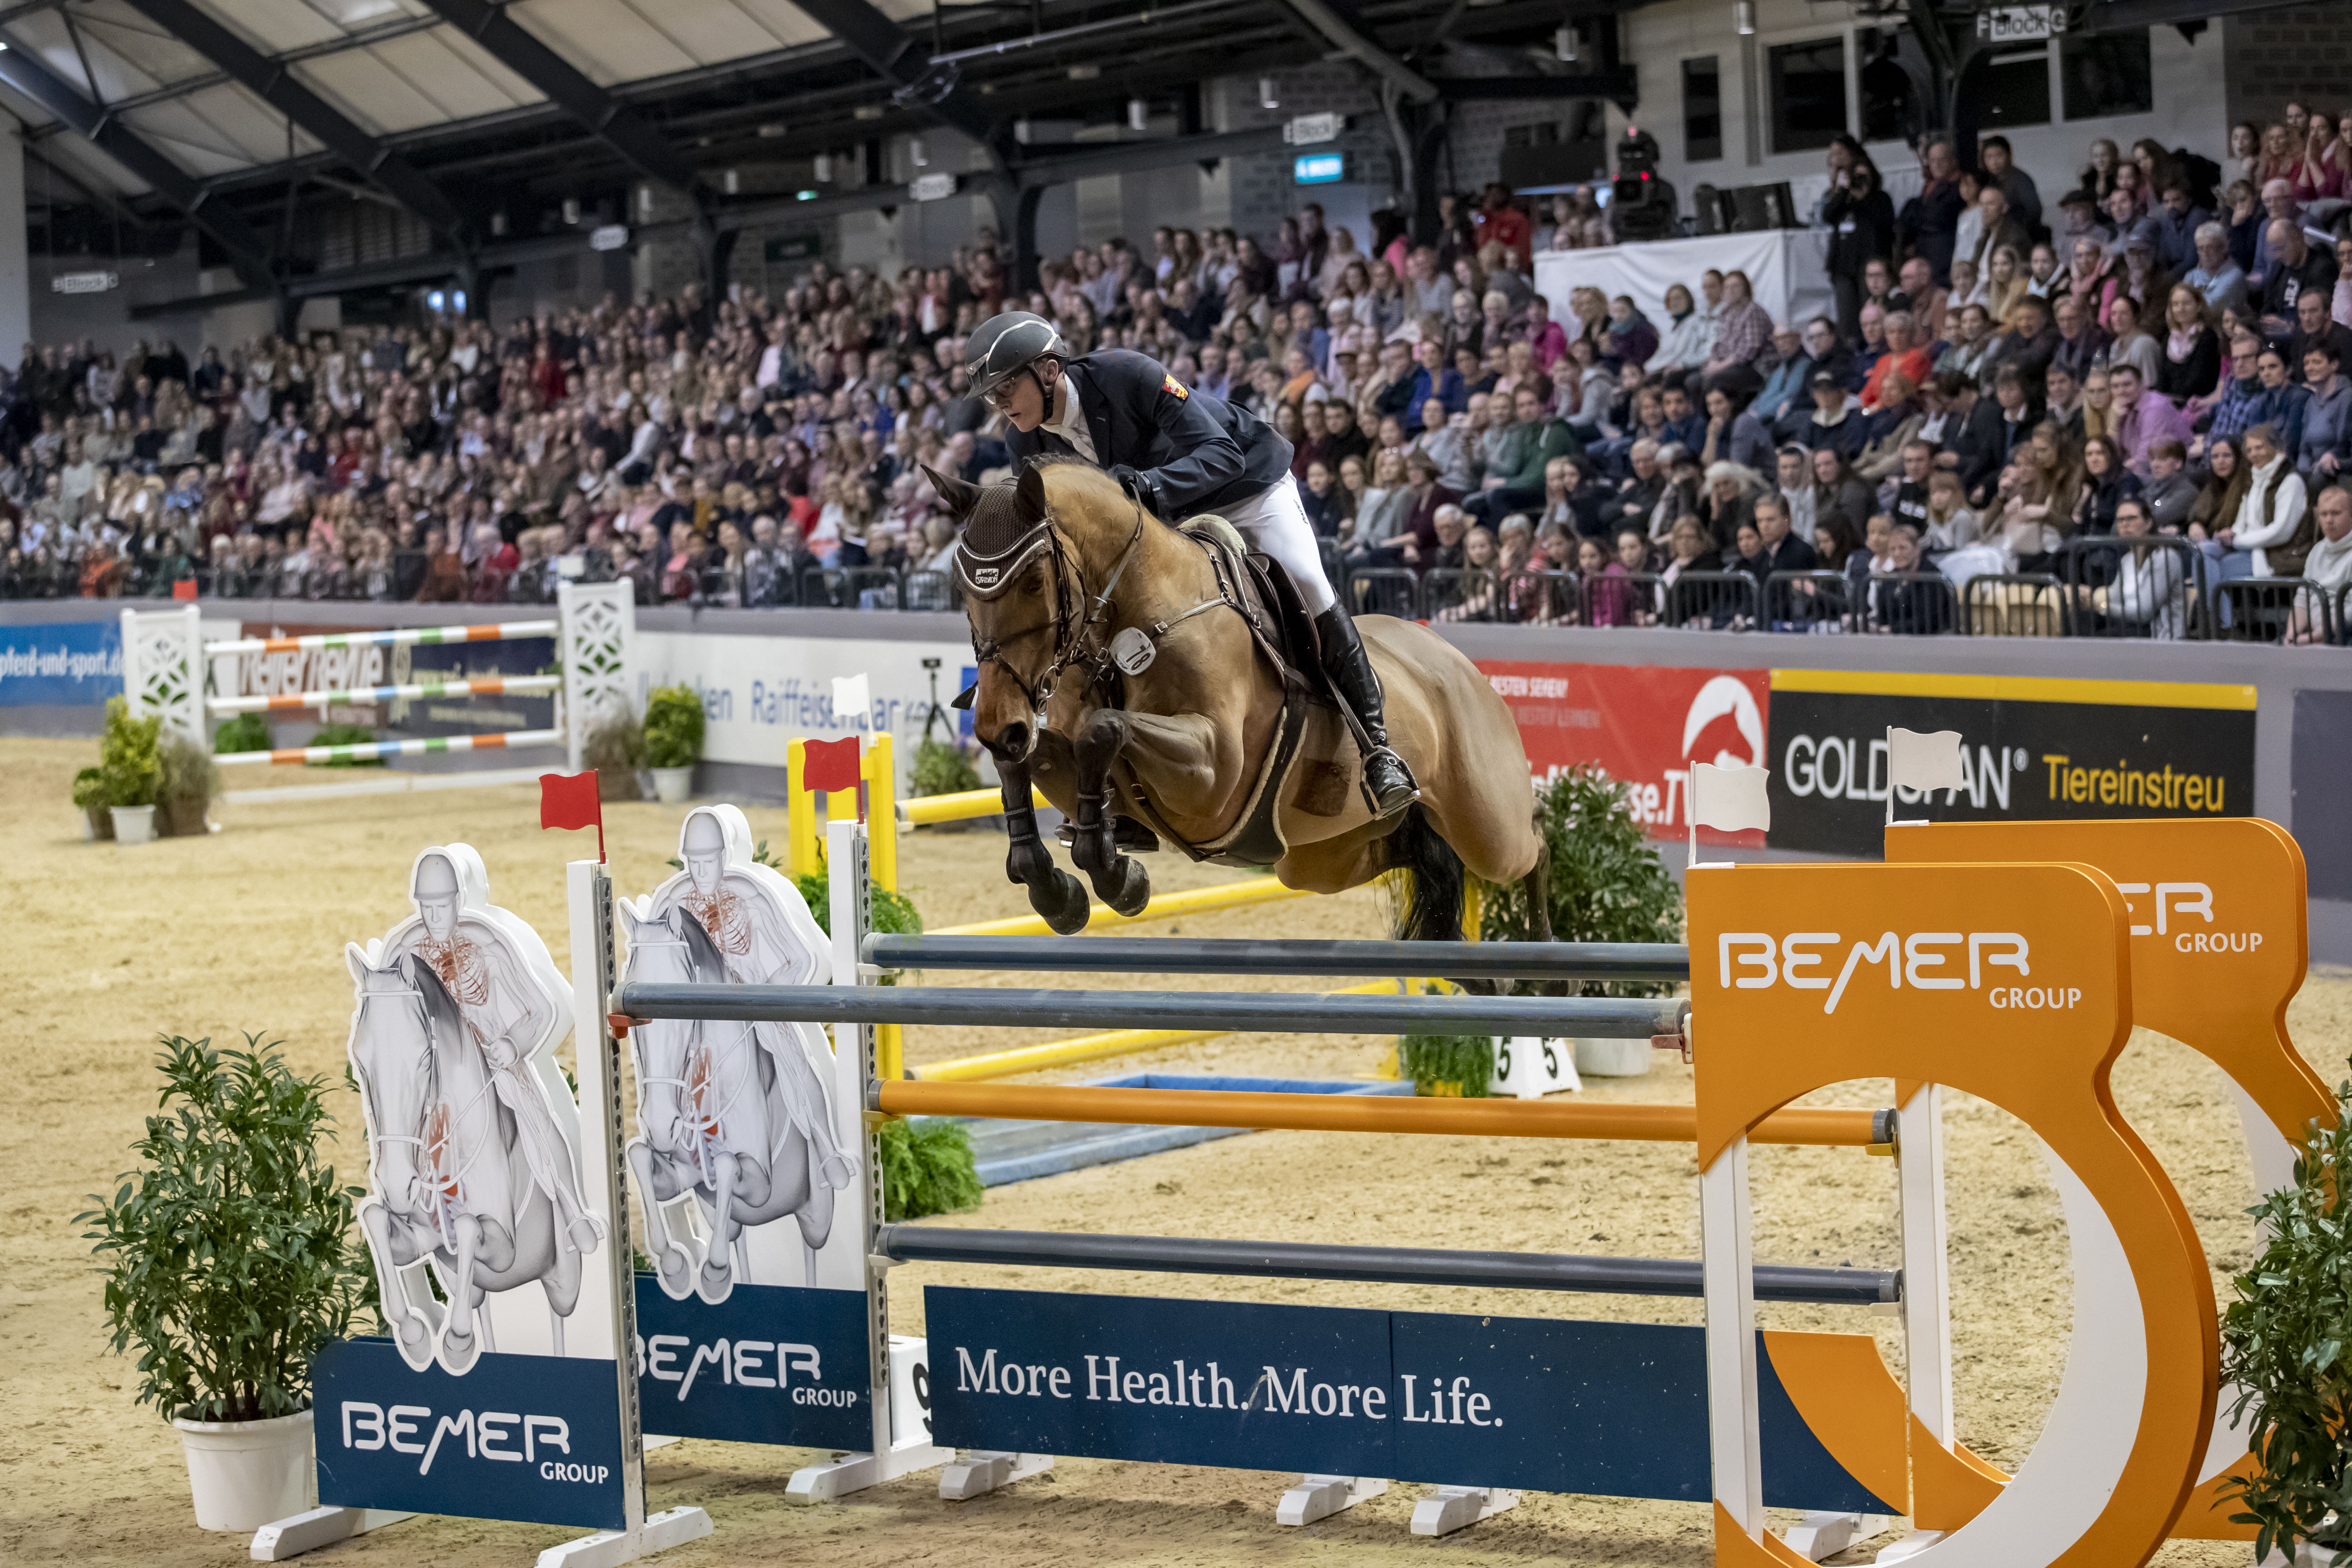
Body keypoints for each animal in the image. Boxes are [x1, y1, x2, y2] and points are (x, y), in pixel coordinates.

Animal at [350, 945, 585, 1373]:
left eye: (424, 1058)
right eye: (360, 1062)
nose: (397, 1185)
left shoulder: (505, 1247)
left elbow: (467, 1226)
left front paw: (456, 1342)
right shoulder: (423, 1240)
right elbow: (375, 1217)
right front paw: (416, 1337)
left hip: (563, 1284)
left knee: (559, 1323)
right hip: (482, 1290)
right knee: (484, 1313)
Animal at [621, 902, 842, 1307]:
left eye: (677, 997)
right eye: (633, 995)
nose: (660, 1124)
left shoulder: (760, 1182)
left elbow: (725, 1164)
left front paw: (713, 1274)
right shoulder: (685, 1177)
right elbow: (640, 1155)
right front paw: (676, 1268)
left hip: (816, 1217)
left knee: (811, 1253)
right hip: (733, 1222)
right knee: (740, 1244)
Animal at [927, 454, 1552, 945]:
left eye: (1034, 582)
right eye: (962, 588)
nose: (996, 724)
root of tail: (1458, 664)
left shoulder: (1215, 774)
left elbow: (1102, 730)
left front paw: (1113, 877)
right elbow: (1040, 756)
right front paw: (1058, 889)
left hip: (1487, 827)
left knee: (1534, 845)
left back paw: (1549, 968)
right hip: (1320, 857)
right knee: (1417, 858)